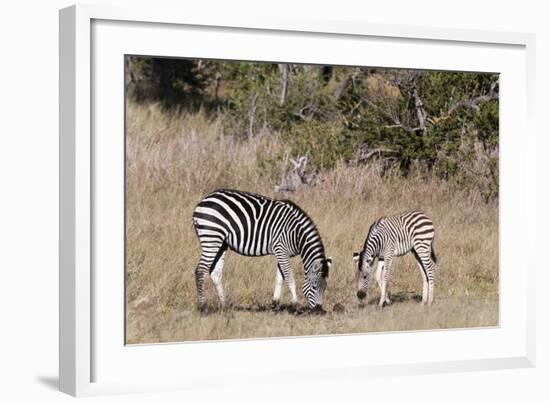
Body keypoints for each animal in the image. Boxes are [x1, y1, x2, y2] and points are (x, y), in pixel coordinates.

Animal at [192, 188, 334, 312]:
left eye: (325, 288)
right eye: (314, 287)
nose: (318, 310)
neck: (296, 234)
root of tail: (202, 202)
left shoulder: (281, 252)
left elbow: (279, 279)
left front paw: (275, 304)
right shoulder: (281, 249)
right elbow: (289, 278)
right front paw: (295, 305)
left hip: (221, 243)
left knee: (215, 273)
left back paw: (225, 306)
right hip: (211, 237)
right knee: (200, 270)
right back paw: (202, 308)